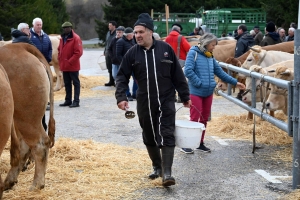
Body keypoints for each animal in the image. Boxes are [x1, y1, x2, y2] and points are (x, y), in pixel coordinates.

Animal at [0, 43, 55, 191]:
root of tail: (21, 47)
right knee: (24, 147)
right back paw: (9, 182)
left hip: (26, 116)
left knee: (39, 144)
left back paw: (36, 185)